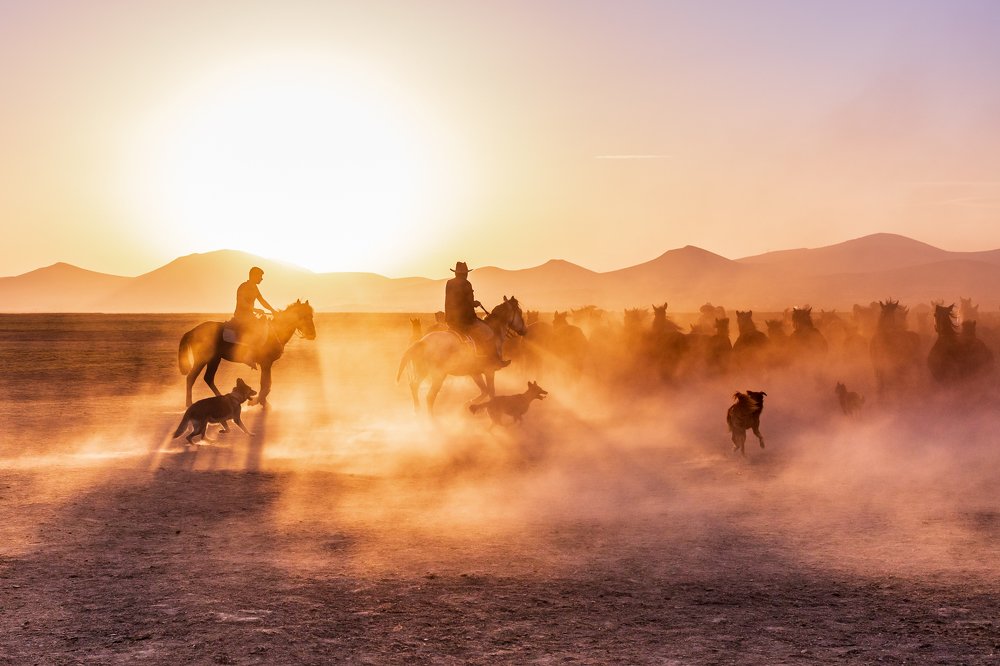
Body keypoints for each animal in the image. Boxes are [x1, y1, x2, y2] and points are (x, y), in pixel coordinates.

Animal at [178, 299, 316, 408]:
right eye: (303, 316)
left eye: (311, 315)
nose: (312, 334)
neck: (275, 331)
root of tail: (192, 331)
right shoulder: (265, 363)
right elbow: (266, 384)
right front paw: (257, 402)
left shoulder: (267, 364)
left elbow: (267, 383)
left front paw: (262, 402)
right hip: (202, 359)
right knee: (191, 378)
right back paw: (189, 403)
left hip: (214, 359)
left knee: (208, 378)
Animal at [396, 296, 526, 414]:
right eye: (519, 312)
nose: (524, 331)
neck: (495, 331)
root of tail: (421, 342)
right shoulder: (489, 371)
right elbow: (491, 392)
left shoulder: (475, 373)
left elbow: (484, 391)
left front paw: (468, 404)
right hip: (438, 375)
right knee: (429, 397)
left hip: (423, 371)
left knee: (414, 386)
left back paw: (418, 413)